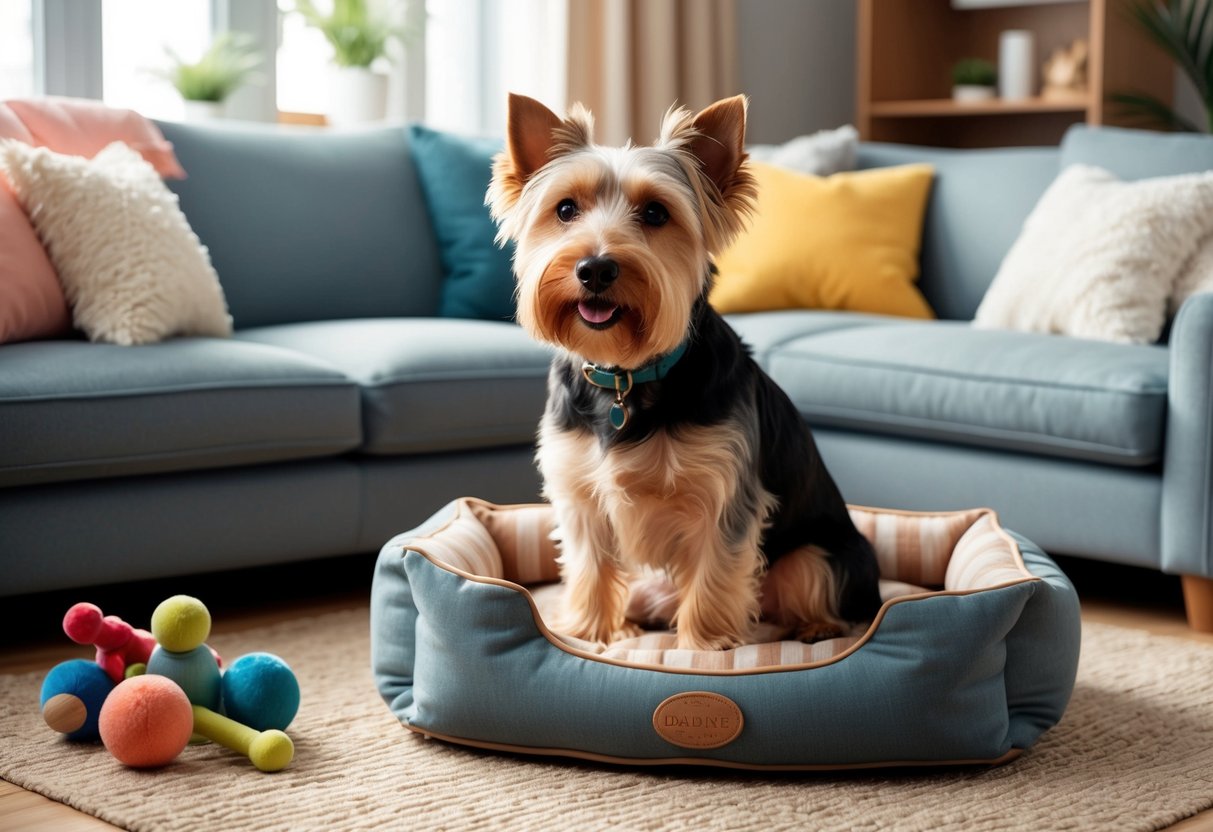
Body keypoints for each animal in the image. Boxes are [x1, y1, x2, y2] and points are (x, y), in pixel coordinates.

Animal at [485, 92, 883, 650]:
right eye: (565, 209)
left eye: (656, 212)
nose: (595, 268)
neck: (627, 376)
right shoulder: (580, 492)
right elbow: (590, 566)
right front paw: (590, 634)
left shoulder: (725, 493)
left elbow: (715, 571)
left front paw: (703, 647)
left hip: (821, 555)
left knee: (812, 583)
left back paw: (815, 626)